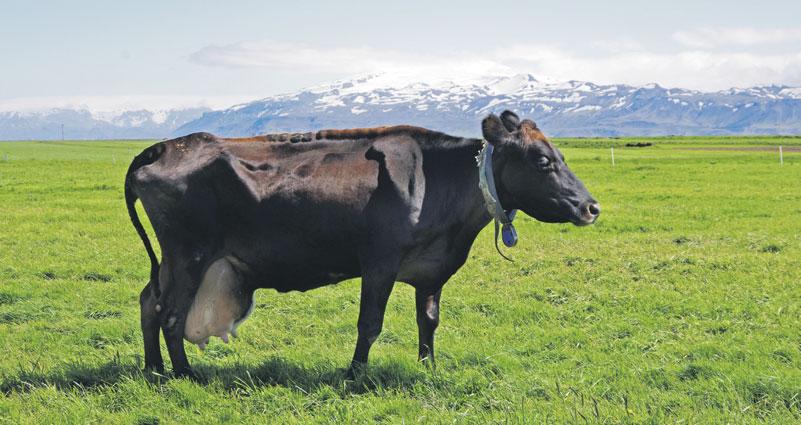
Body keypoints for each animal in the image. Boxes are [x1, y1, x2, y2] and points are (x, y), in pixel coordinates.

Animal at [125, 111, 596, 376]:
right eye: (543, 161)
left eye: (562, 156)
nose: (591, 207)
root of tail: (165, 146)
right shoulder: (379, 262)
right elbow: (369, 324)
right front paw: (355, 374)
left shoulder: (432, 270)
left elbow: (429, 320)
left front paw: (429, 368)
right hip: (189, 254)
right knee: (171, 315)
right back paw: (186, 375)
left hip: (172, 259)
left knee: (149, 302)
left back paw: (154, 370)